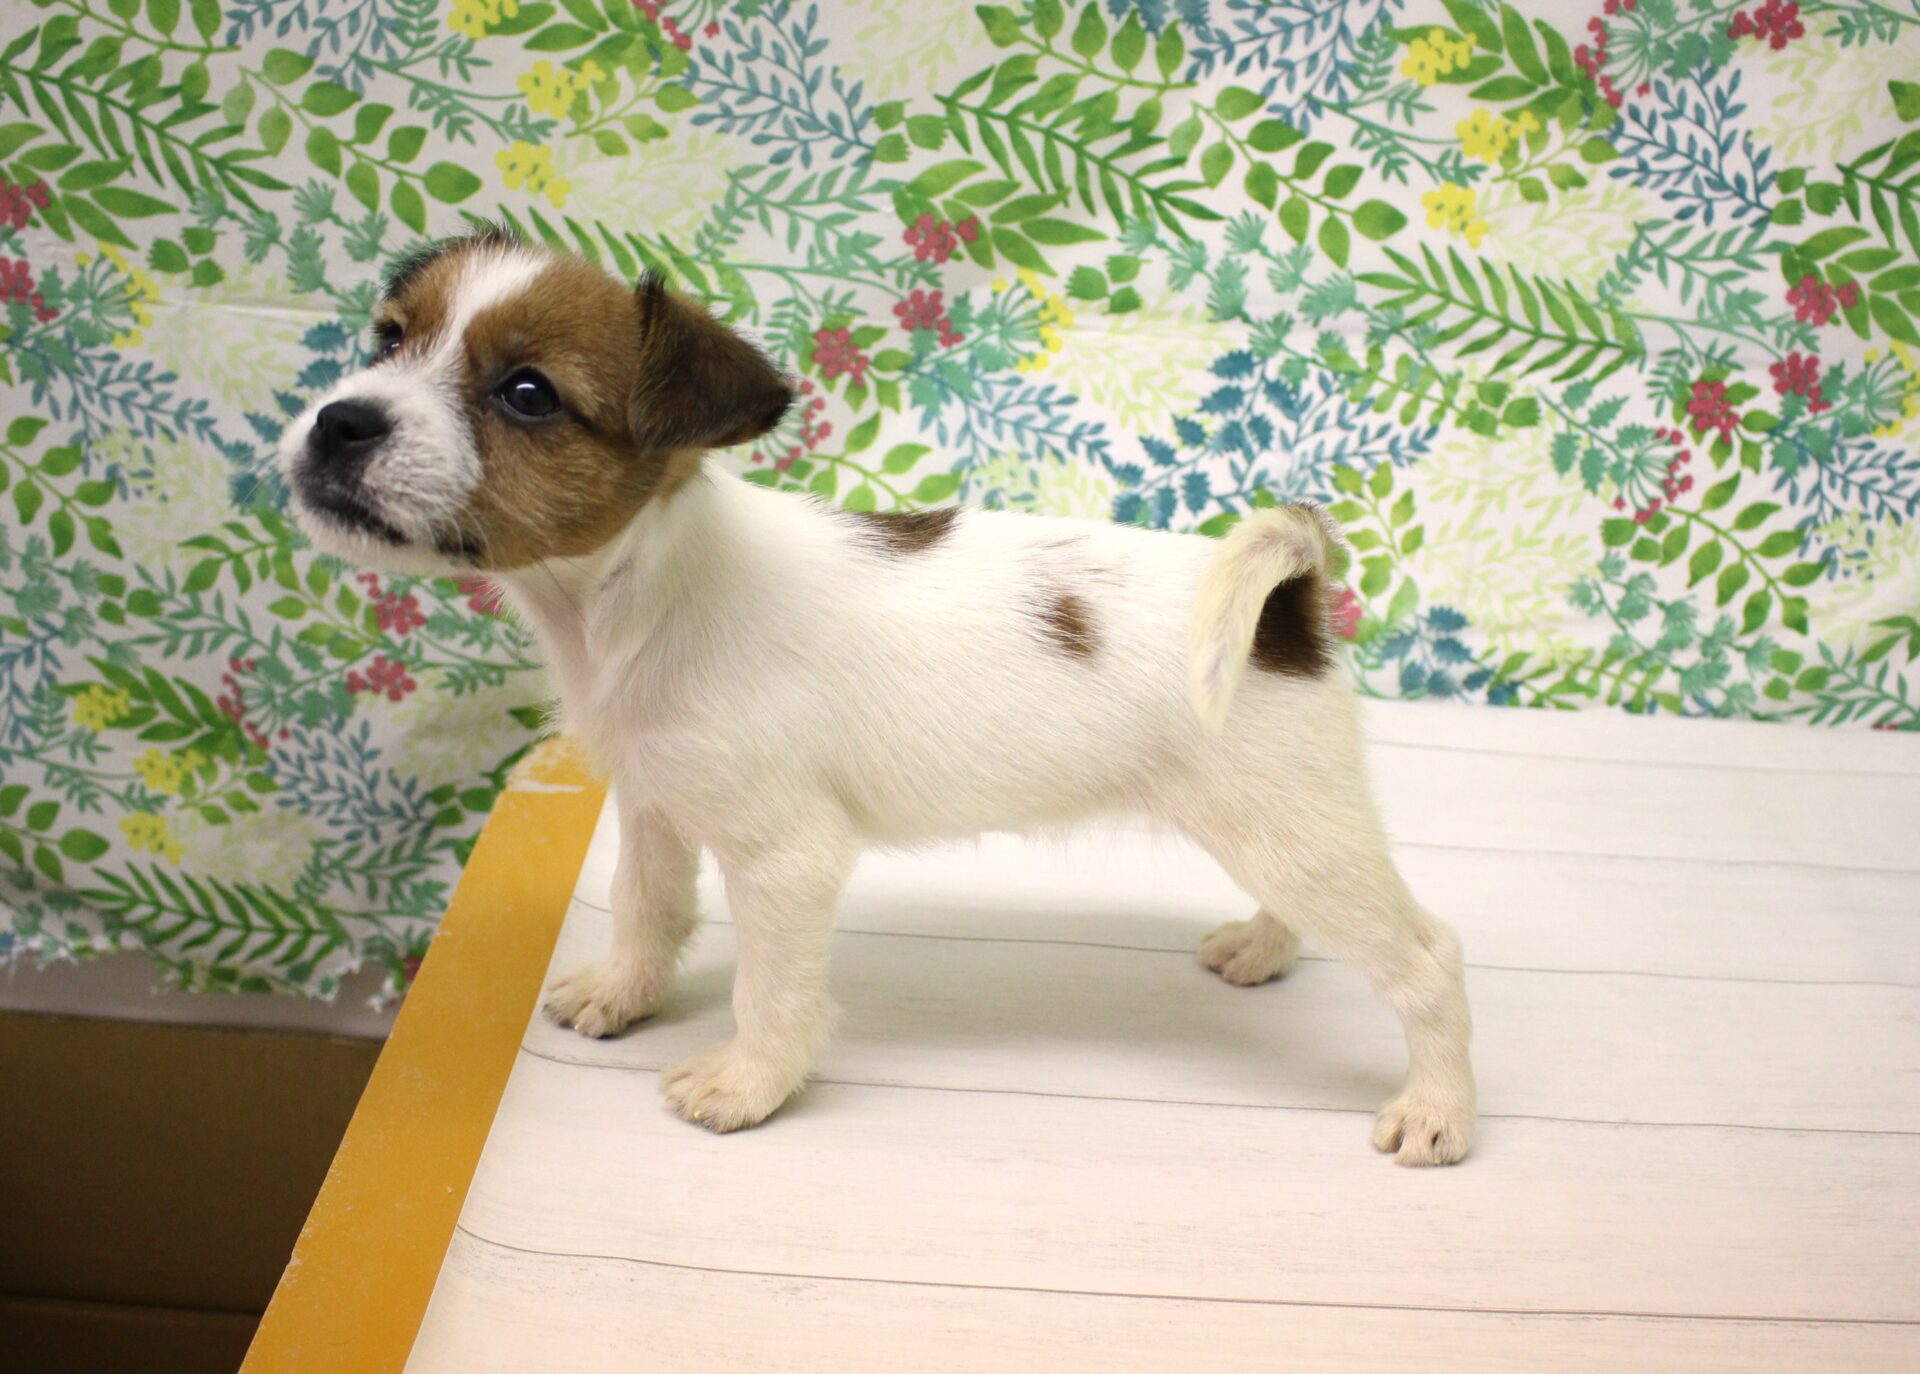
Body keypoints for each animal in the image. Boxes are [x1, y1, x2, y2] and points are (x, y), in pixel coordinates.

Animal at [279, 228, 1477, 1165]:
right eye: (388, 340)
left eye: (526, 393)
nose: (340, 421)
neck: (636, 595)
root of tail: (1290, 600)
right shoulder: (658, 804)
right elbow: (646, 908)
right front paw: (624, 994)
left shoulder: (786, 858)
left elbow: (771, 989)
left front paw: (747, 1085)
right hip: (1276, 826)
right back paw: (1262, 951)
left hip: (1290, 823)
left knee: (1425, 958)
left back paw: (1440, 1111)